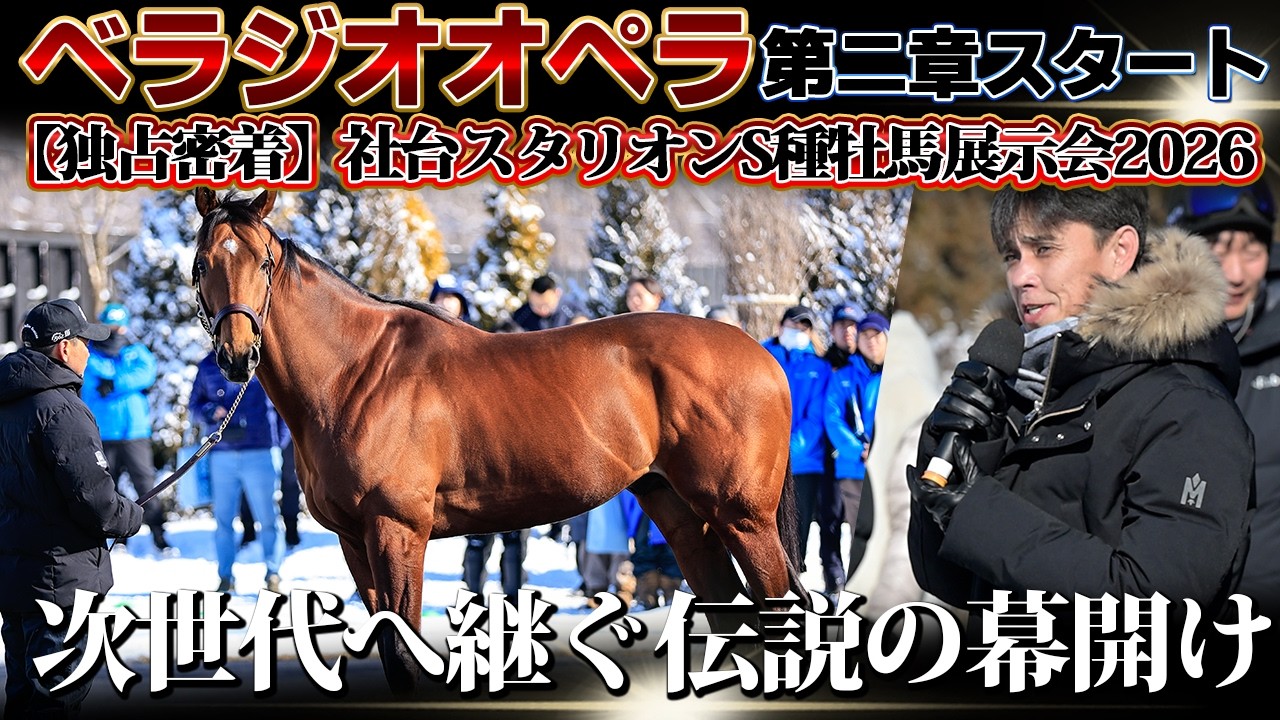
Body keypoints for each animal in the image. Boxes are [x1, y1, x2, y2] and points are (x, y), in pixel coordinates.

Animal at [189, 187, 808, 693]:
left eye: (263, 262)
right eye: (201, 264)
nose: (237, 355)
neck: (356, 374)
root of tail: (762, 353)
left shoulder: (396, 530)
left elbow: (404, 651)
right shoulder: (353, 540)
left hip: (742, 516)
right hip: (681, 512)